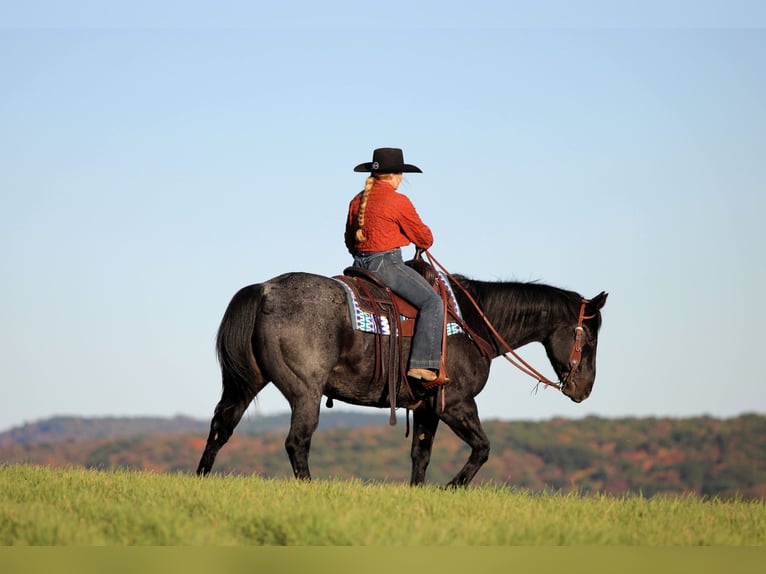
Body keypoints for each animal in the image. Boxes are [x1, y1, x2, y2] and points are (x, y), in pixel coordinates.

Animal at [196, 262, 607, 487]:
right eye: (588, 337)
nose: (584, 389)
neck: (472, 323)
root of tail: (264, 290)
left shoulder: (427, 408)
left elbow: (420, 455)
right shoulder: (456, 404)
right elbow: (483, 448)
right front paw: (451, 487)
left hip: (244, 384)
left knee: (221, 427)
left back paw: (200, 477)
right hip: (305, 393)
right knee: (297, 442)